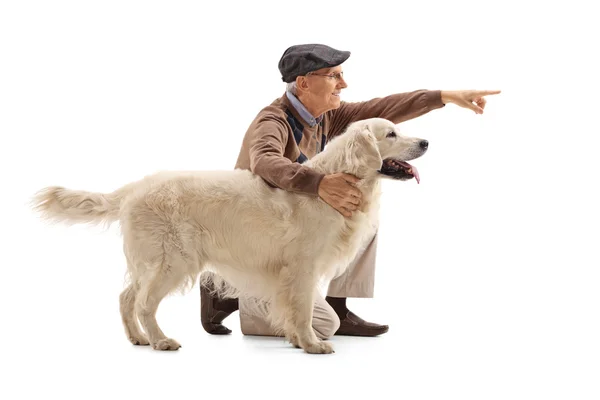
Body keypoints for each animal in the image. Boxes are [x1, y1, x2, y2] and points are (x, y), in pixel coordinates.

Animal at [31, 117, 426, 354]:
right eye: (391, 134)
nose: (425, 142)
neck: (336, 181)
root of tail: (135, 187)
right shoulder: (302, 267)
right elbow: (301, 309)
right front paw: (313, 344)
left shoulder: (289, 275)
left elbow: (292, 309)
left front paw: (296, 340)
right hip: (172, 261)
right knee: (143, 303)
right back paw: (161, 340)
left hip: (150, 260)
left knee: (127, 297)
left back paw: (138, 337)